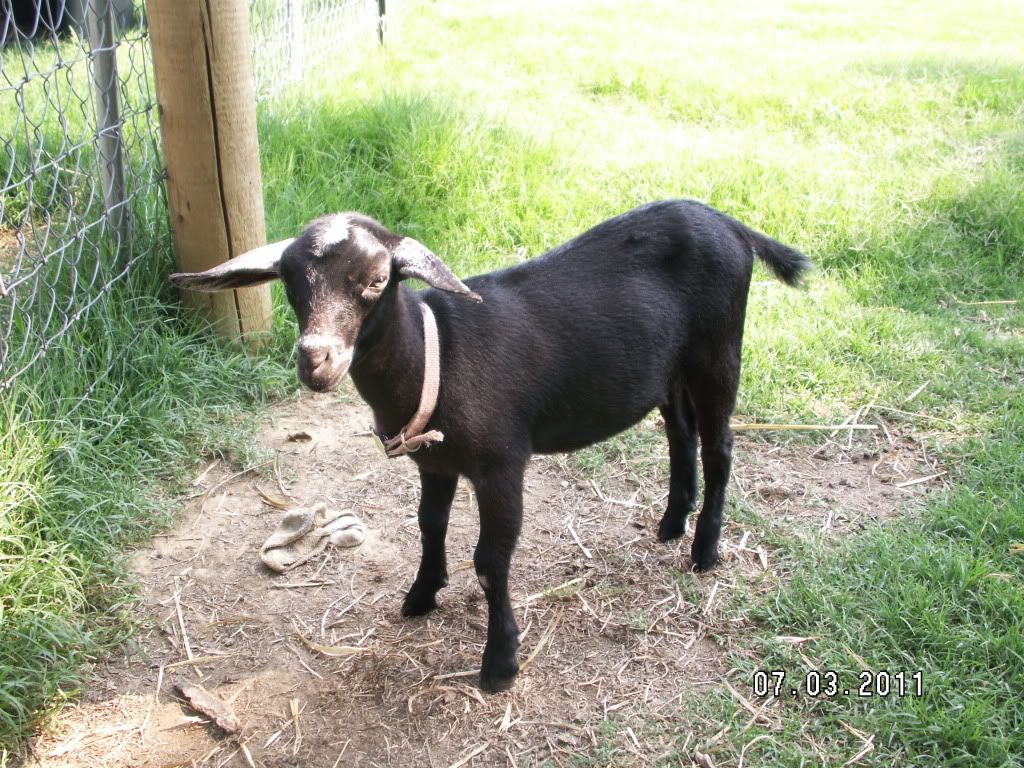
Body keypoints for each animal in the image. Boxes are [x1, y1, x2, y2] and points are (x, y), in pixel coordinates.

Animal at [170, 200, 810, 692]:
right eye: (289, 284)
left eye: (376, 281)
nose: (315, 361)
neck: (436, 354)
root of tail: (731, 224)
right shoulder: (434, 462)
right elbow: (429, 525)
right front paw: (421, 595)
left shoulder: (502, 464)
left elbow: (489, 560)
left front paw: (500, 664)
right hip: (669, 368)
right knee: (680, 432)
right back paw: (672, 522)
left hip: (717, 351)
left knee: (719, 445)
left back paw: (705, 551)